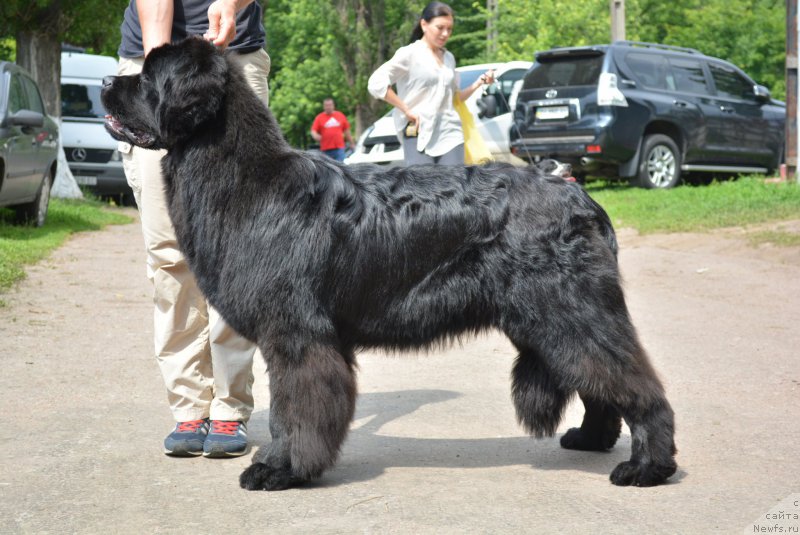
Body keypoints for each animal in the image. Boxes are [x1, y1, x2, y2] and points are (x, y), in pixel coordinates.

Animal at [98, 36, 676, 490]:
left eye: (147, 77)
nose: (104, 79)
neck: (247, 179)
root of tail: (581, 197)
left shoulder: (297, 334)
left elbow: (291, 410)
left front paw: (280, 469)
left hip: (567, 309)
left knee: (633, 381)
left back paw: (648, 466)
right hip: (548, 318)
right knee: (600, 381)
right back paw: (592, 439)